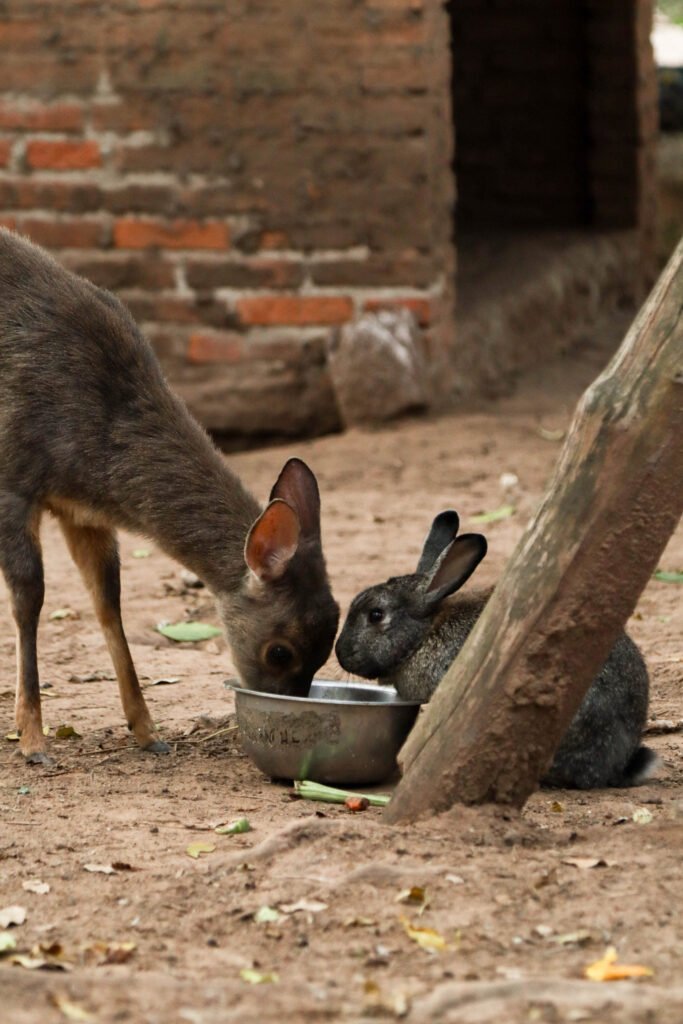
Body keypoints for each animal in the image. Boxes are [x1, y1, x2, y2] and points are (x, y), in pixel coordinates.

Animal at [0, 228, 339, 765]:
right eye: (279, 651)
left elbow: (108, 599)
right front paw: (33, 740)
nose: (290, 706)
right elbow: (29, 597)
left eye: (326, 648)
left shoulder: (83, 513)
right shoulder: (13, 478)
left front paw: (147, 731)